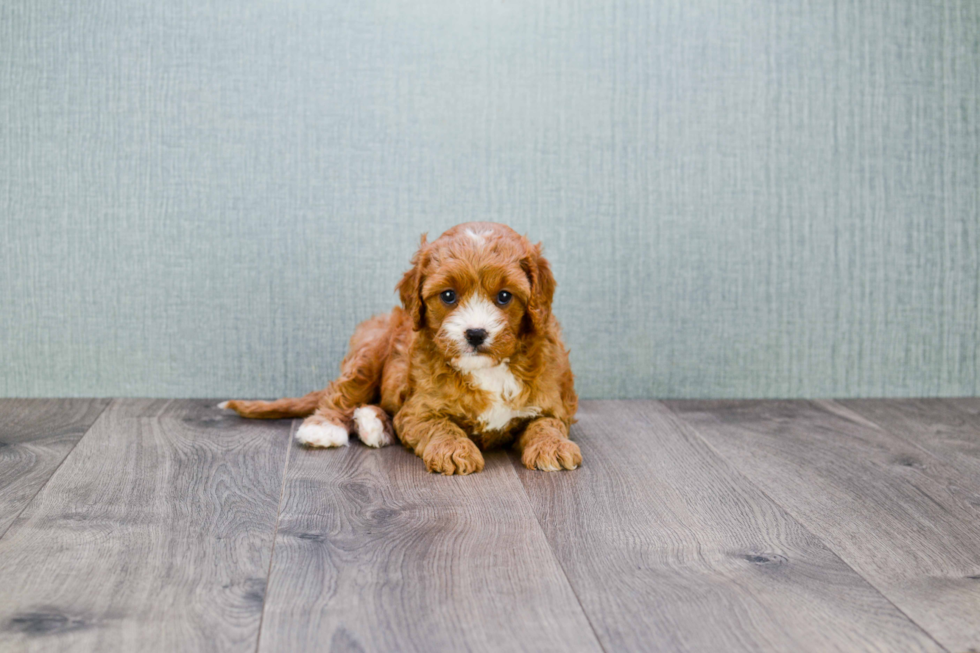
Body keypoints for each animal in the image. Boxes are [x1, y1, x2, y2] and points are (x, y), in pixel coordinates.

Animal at [218, 223, 580, 474]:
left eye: (504, 296)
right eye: (448, 295)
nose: (475, 334)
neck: (487, 368)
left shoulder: (552, 402)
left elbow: (546, 423)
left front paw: (554, 447)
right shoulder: (419, 410)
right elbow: (441, 425)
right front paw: (454, 451)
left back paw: (372, 423)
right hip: (372, 347)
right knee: (344, 391)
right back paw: (326, 427)